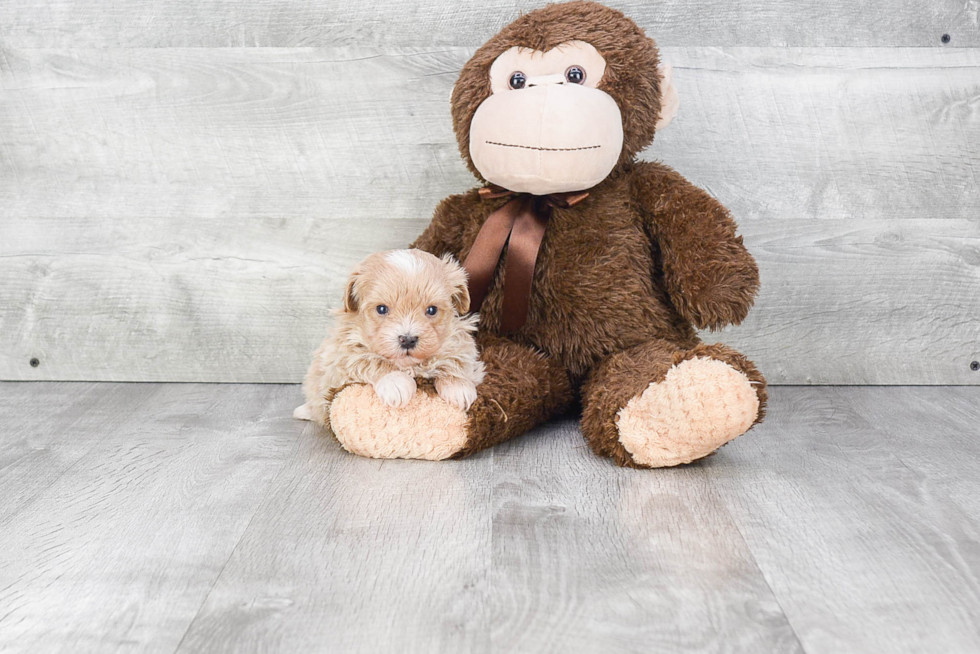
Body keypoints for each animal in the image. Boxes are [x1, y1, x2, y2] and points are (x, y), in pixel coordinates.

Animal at [294, 249, 486, 428]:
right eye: (381, 309)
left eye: (432, 310)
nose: (408, 339)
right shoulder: (340, 354)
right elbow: (367, 359)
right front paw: (396, 382)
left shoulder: (460, 337)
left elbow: (456, 357)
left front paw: (458, 385)